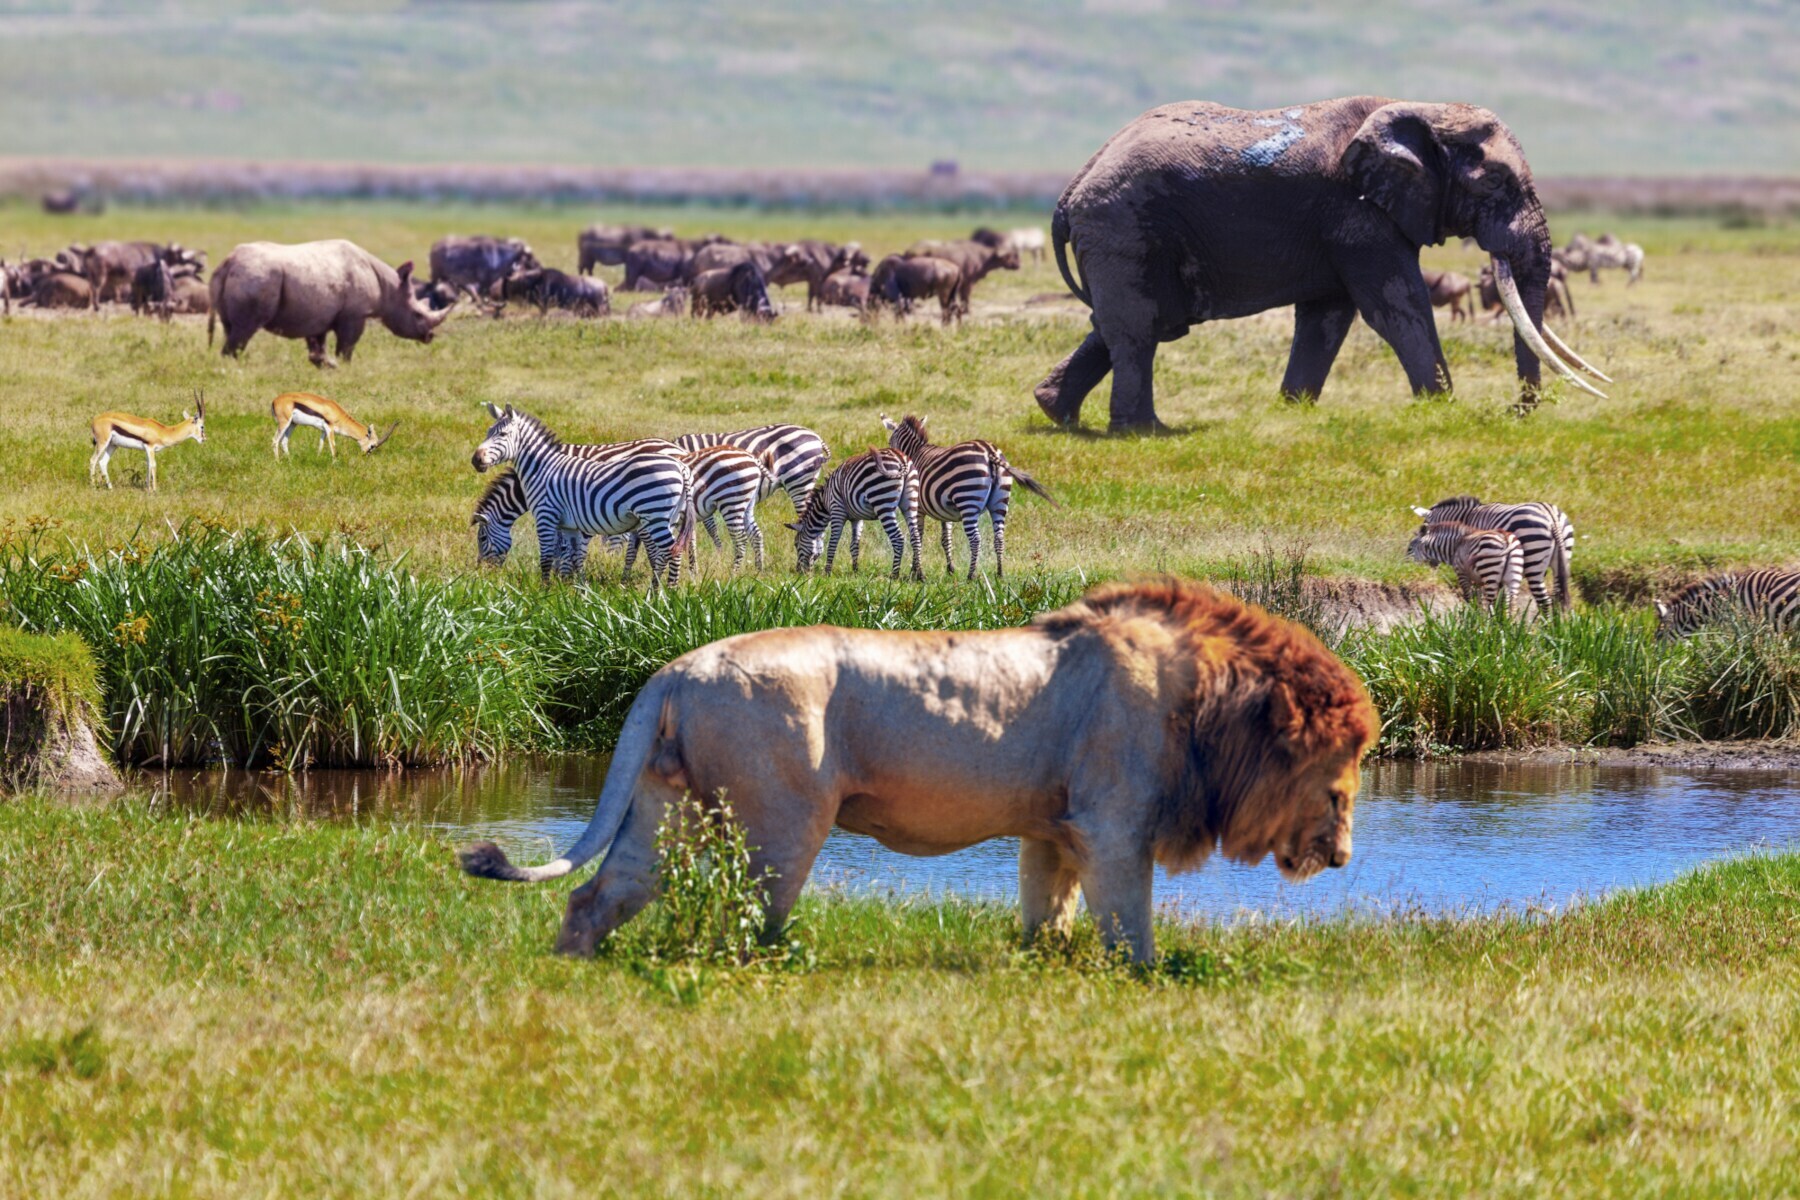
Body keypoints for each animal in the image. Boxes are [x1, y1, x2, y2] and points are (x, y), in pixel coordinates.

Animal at [459, 579, 1380, 962]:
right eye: (1341, 776)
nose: (1341, 858)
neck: (1209, 703)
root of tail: (674, 669)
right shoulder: (1115, 824)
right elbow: (1131, 928)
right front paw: (1142, 981)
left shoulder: (1055, 829)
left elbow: (1048, 914)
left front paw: (1042, 967)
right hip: (782, 821)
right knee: (746, 922)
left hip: (667, 805)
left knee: (598, 894)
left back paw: (573, 966)